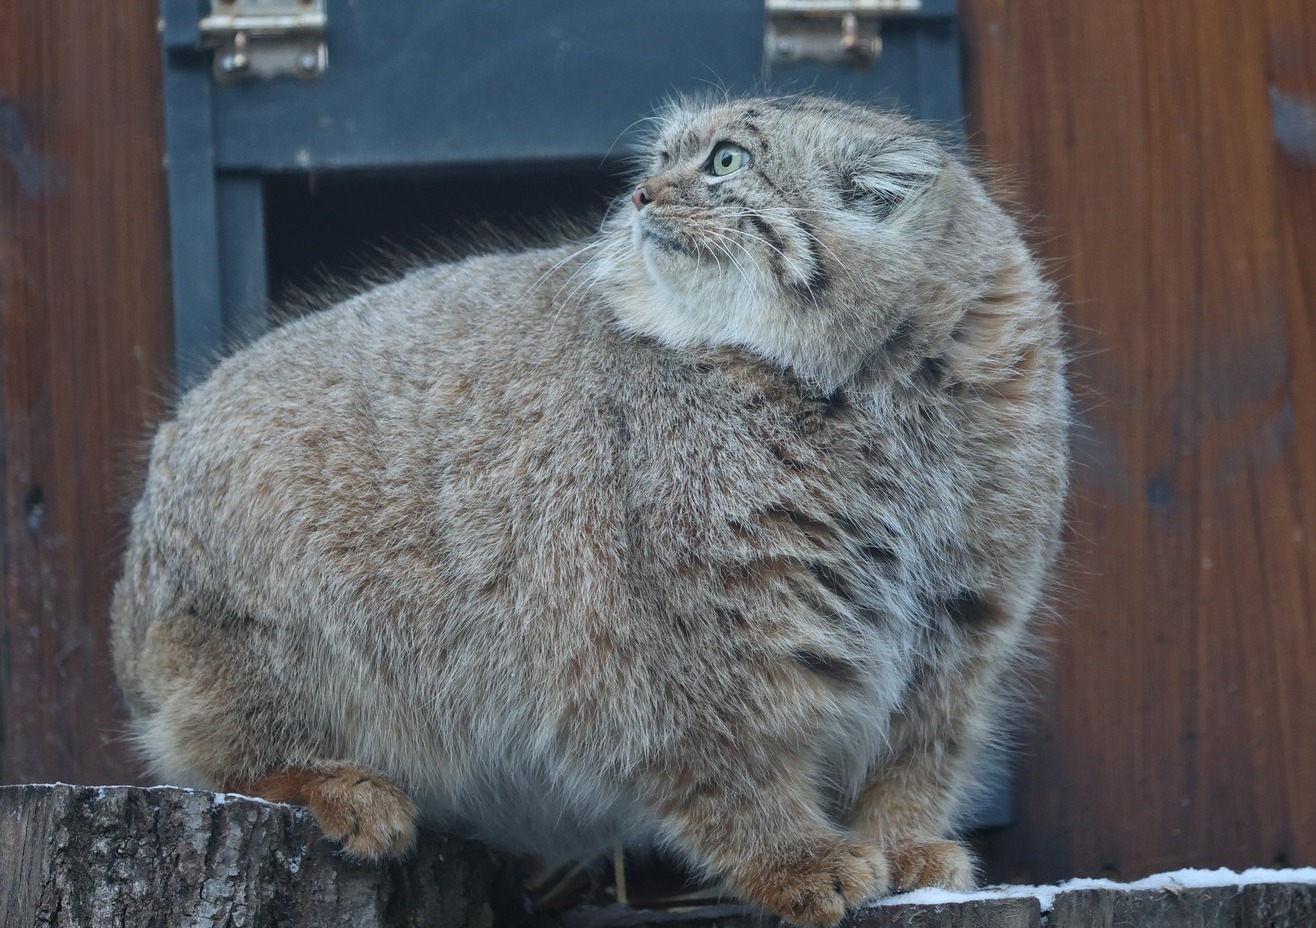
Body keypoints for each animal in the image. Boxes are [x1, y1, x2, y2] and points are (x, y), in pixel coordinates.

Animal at [113, 96, 1068, 926]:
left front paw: (906, 847)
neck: (871, 393)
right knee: (214, 759)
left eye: (726, 161)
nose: (639, 195)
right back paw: (342, 786)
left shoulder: (963, 620)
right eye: (658, 161)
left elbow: (918, 756)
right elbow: (735, 760)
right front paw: (798, 862)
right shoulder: (685, 630)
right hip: (275, 643)